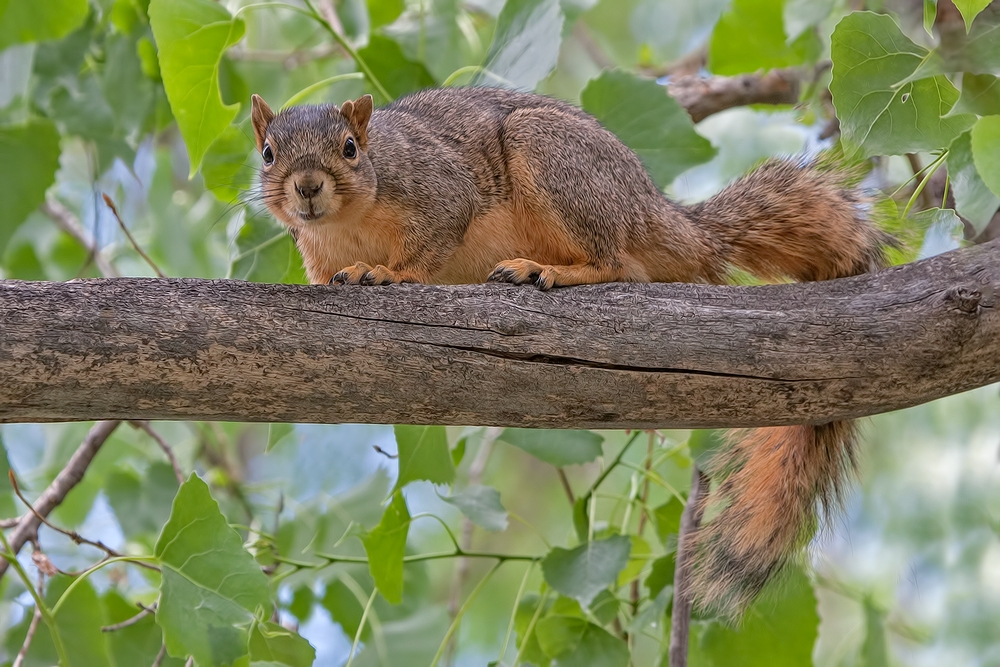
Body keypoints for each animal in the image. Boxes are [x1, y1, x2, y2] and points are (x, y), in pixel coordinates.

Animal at [250, 86, 892, 620]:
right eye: (268, 153)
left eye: (350, 147)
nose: (307, 187)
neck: (350, 222)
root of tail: (652, 208)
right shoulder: (314, 251)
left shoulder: (440, 190)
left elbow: (432, 241)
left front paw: (386, 272)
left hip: (553, 160)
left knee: (618, 262)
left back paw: (549, 269)